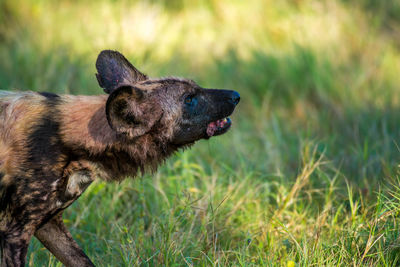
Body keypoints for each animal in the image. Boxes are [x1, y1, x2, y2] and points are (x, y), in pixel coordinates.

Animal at [0, 49, 239, 266]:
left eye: (196, 88)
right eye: (189, 99)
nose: (235, 96)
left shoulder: (46, 225)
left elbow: (83, 261)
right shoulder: (15, 231)